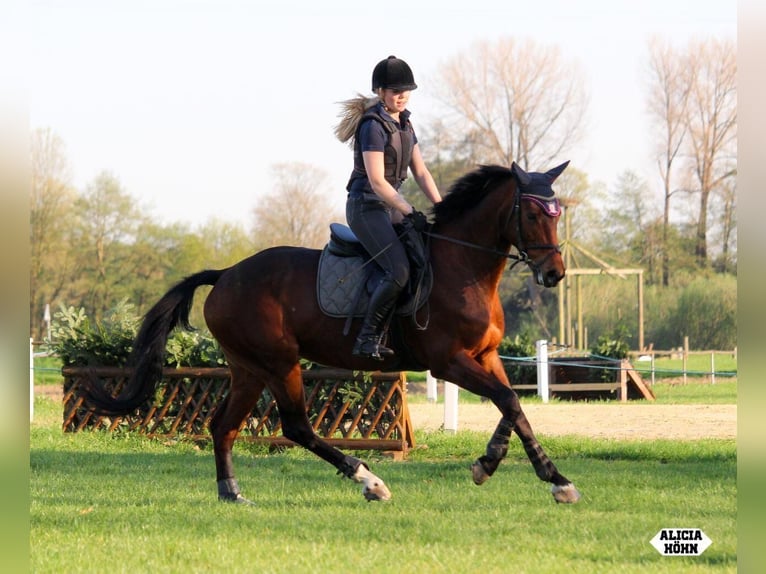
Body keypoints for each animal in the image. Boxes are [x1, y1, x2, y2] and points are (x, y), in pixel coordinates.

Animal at [79, 161, 584, 504]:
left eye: (557, 213)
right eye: (533, 215)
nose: (554, 273)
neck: (463, 266)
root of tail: (225, 275)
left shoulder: (487, 357)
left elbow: (513, 406)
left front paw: (522, 471)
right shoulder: (449, 362)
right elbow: (509, 400)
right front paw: (522, 471)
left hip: (248, 368)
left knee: (223, 426)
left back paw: (232, 492)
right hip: (280, 363)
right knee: (297, 426)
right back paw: (369, 479)